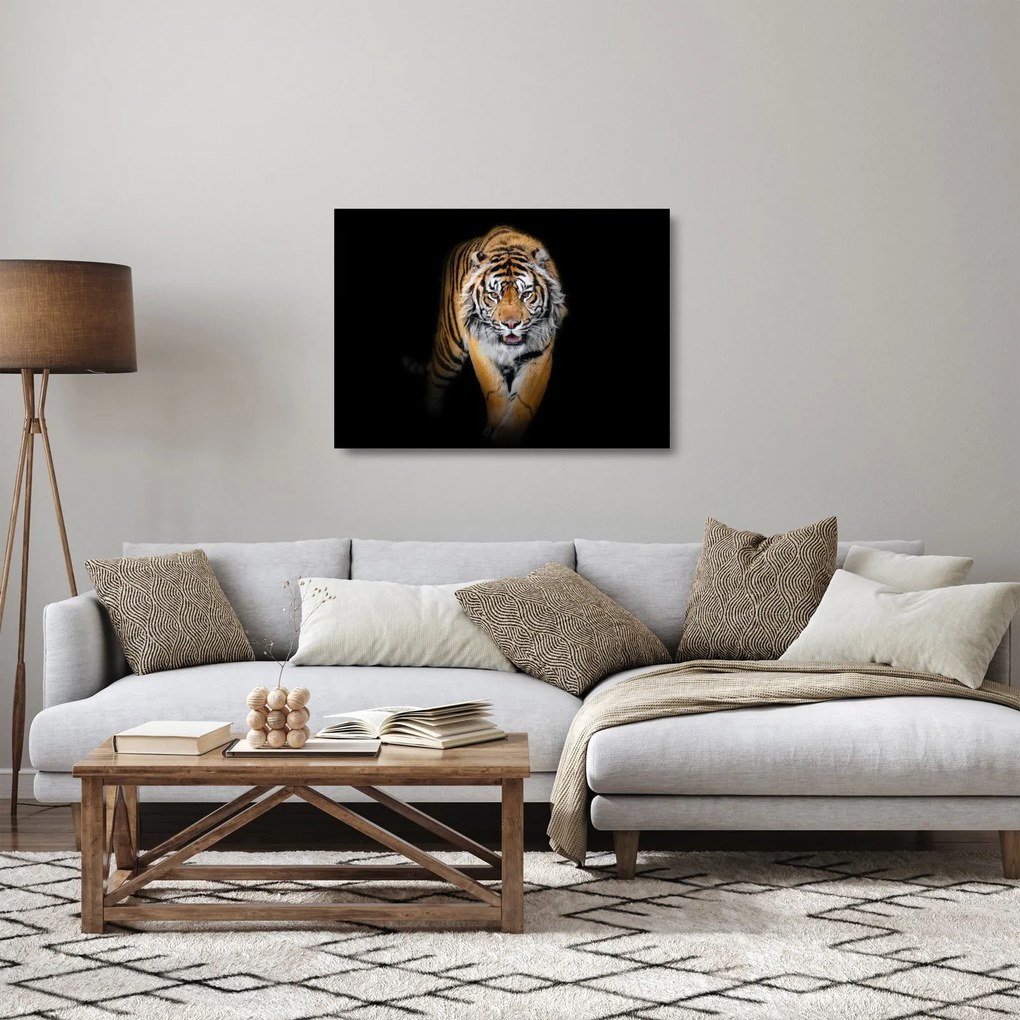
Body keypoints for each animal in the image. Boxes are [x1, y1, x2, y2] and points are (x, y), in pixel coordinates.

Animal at [423, 225, 567, 445]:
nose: (511, 324)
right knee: (435, 380)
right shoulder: (480, 348)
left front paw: (505, 436)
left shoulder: (539, 356)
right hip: (449, 351)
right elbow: (494, 391)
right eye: (493, 295)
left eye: (526, 295)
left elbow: (523, 402)